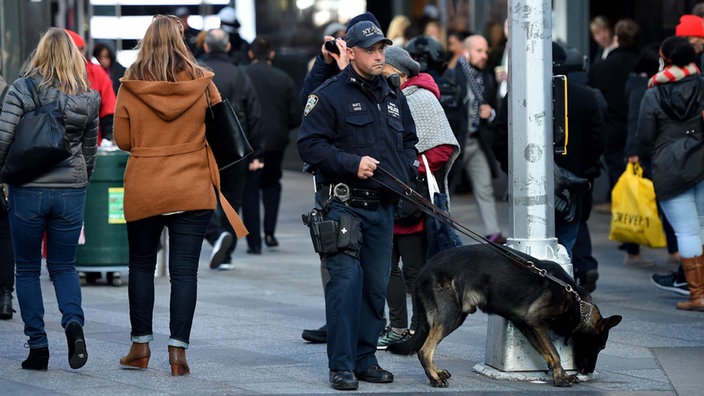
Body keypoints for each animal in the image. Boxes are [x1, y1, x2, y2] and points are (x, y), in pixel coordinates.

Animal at [388, 244, 624, 386]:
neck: (576, 300)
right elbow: (555, 352)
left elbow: (548, 353)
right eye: (599, 347)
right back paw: (434, 378)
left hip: (456, 316)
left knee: (426, 346)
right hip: (450, 316)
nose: (589, 371)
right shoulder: (536, 321)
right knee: (424, 350)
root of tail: (423, 270)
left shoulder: (527, 325)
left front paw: (558, 374)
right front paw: (561, 376)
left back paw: (436, 372)